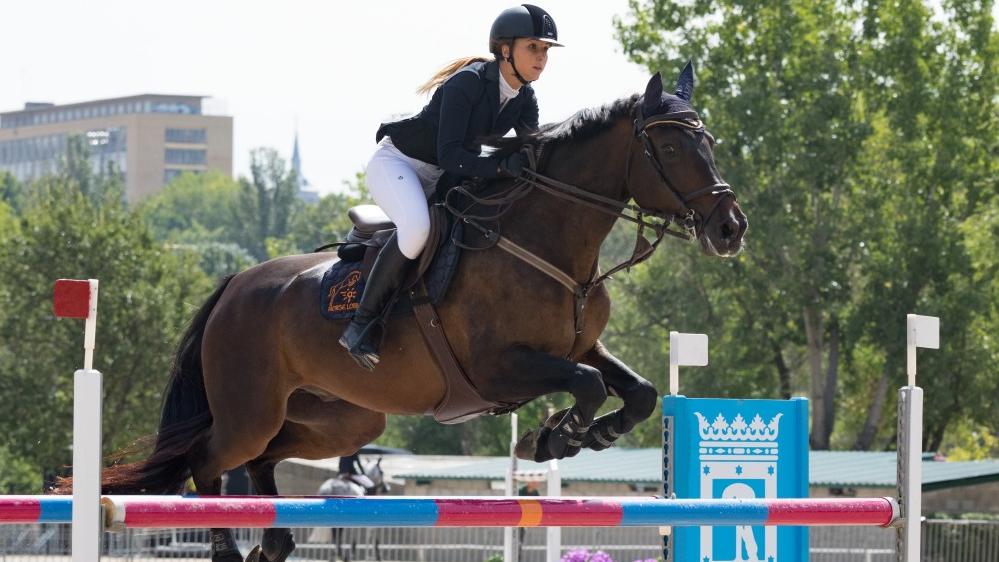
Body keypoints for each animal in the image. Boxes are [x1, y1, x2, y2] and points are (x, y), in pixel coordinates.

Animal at [72, 66, 744, 560]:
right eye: (671, 145)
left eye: (708, 142)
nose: (730, 228)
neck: (548, 241)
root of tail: (236, 283)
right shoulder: (499, 369)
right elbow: (586, 385)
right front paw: (554, 436)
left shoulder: (579, 347)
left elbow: (640, 392)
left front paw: (584, 434)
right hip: (249, 412)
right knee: (208, 461)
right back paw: (228, 549)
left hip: (341, 420)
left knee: (263, 461)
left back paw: (274, 542)